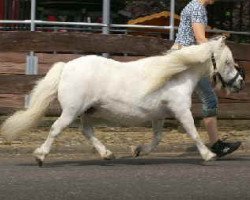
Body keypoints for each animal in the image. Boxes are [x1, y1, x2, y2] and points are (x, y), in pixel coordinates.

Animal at [0, 36, 244, 166]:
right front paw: (209, 155)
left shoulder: (159, 115)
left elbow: (157, 139)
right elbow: (193, 132)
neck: (177, 75)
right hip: (71, 110)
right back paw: (40, 156)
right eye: (228, 62)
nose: (240, 83)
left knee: (86, 131)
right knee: (56, 129)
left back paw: (107, 154)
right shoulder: (181, 110)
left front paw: (138, 150)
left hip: (87, 111)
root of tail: (66, 66)